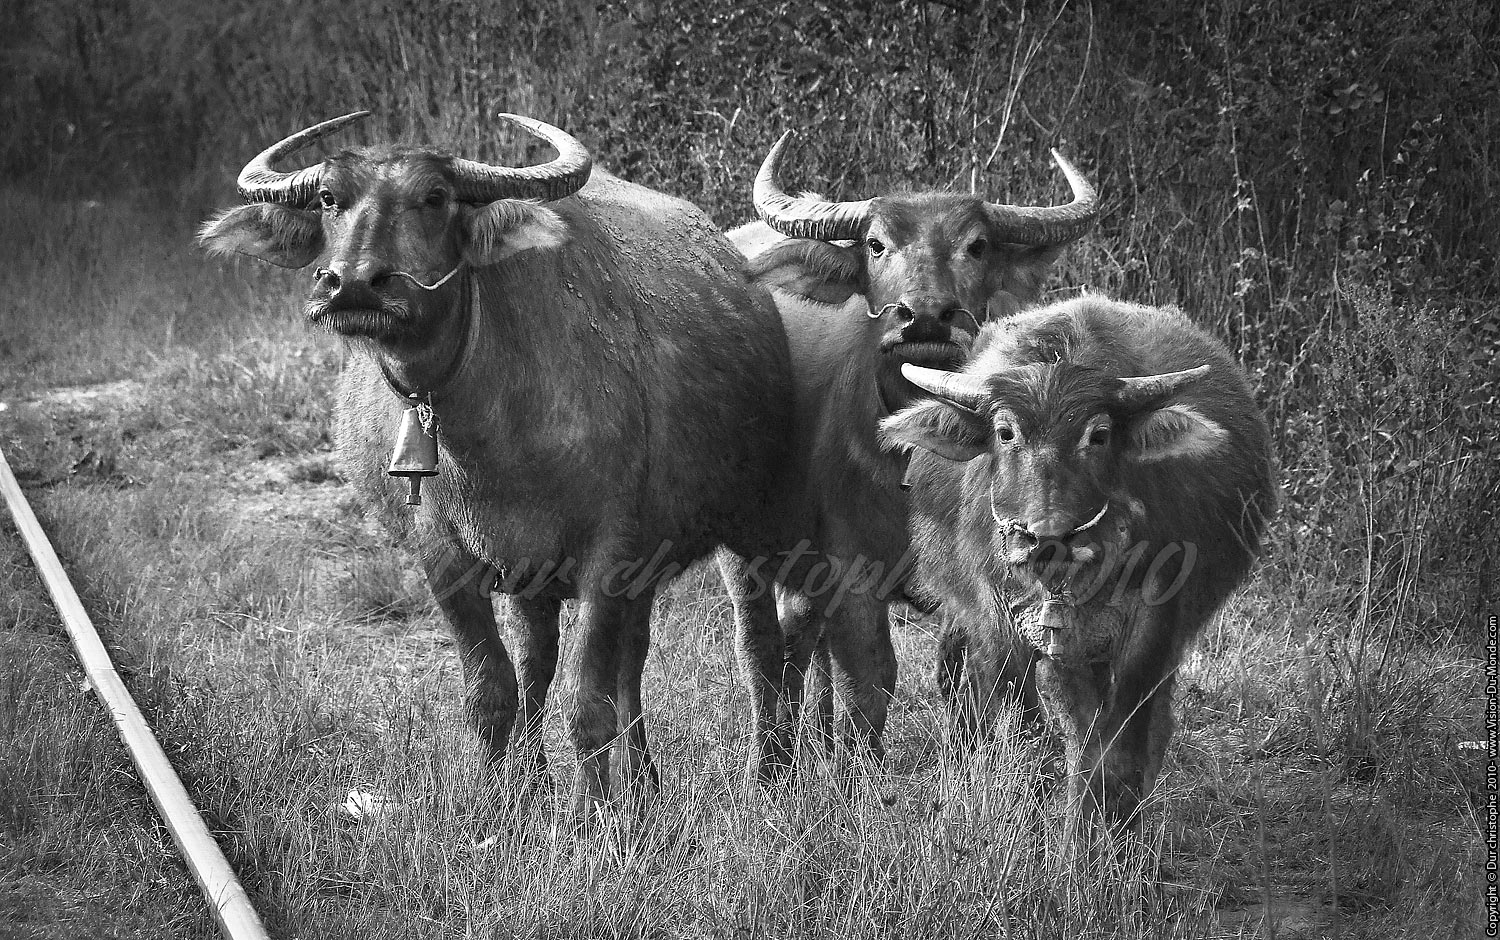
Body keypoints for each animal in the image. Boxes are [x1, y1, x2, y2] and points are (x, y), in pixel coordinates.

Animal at [197, 111, 795, 815]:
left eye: (434, 197)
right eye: (327, 198)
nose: (353, 284)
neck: (482, 432)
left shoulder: (611, 549)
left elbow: (587, 698)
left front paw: (593, 812)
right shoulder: (443, 557)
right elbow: (491, 689)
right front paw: (493, 798)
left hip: (726, 528)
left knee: (711, 648)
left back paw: (711, 776)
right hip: (546, 573)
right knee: (548, 659)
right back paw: (557, 778)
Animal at [719, 131, 1100, 766]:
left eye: (976, 245)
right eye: (876, 245)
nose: (925, 316)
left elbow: (969, 676)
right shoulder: (852, 572)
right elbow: (870, 684)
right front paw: (856, 770)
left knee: (801, 639)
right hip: (741, 552)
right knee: (762, 648)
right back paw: (771, 761)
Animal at [879, 296, 1275, 838]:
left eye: (1100, 435)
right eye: (1005, 433)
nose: (1045, 536)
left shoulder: (1154, 625)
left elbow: (1121, 743)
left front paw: (1109, 829)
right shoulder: (1016, 626)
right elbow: (1054, 731)